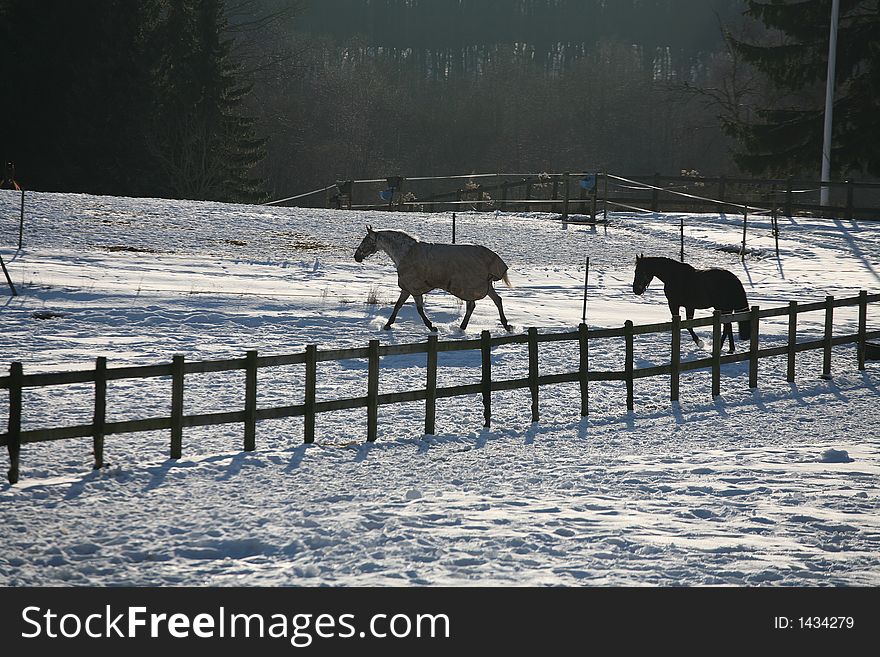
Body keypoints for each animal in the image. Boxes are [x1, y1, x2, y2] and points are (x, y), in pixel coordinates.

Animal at [354, 226, 512, 330]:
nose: (356, 256)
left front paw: (431, 326)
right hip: (483, 286)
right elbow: (398, 305)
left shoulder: (414, 287)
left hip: (472, 287)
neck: (406, 253)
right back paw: (502, 325)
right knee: (495, 301)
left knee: (474, 305)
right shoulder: (407, 288)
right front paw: (388, 324)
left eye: (365, 241)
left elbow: (419, 309)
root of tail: (492, 256)